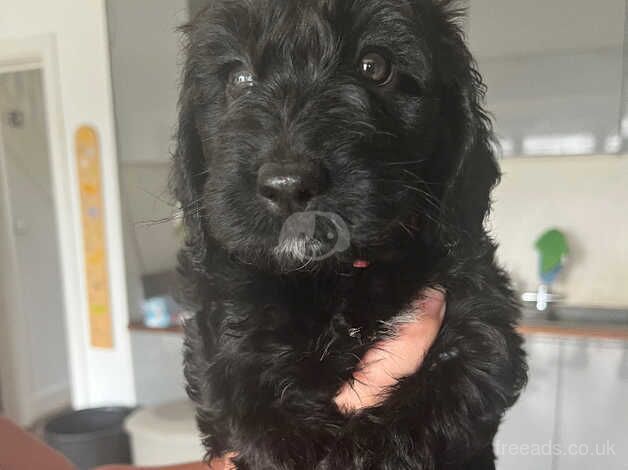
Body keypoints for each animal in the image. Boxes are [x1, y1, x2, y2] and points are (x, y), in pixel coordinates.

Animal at [174, 1, 528, 468]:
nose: (288, 185)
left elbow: (450, 387)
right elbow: (245, 391)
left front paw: (366, 450)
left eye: (375, 66)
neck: (334, 276)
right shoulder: (220, 327)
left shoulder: (478, 318)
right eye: (238, 78)